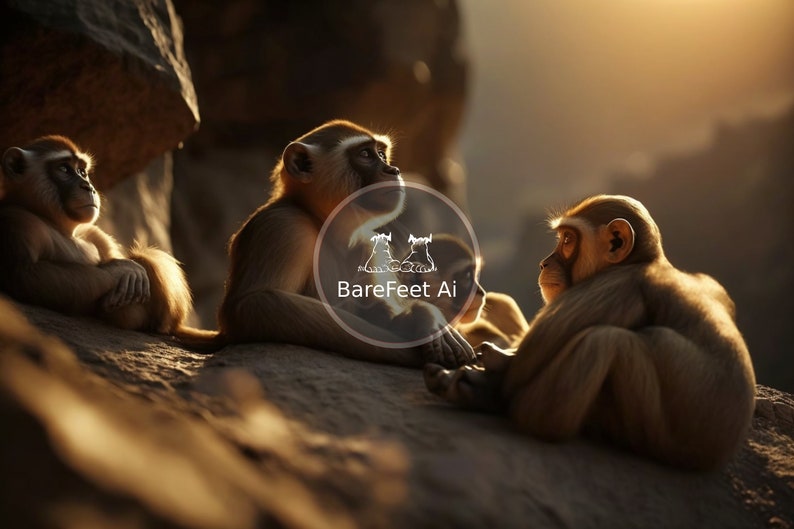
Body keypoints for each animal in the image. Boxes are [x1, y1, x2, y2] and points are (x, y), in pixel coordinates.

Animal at [0, 135, 215, 343]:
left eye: (82, 171)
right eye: (64, 169)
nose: (88, 187)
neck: (62, 228)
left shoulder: (94, 233)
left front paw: (121, 266)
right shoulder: (18, 221)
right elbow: (26, 274)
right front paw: (119, 270)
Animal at [218, 120, 475, 368]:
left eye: (381, 154)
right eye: (365, 154)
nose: (393, 170)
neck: (322, 224)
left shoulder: (369, 245)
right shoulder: (283, 227)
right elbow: (251, 305)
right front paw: (422, 319)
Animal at [424, 195, 756, 470]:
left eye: (568, 240)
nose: (544, 263)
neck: (646, 261)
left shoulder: (616, 286)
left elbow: (523, 369)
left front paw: (488, 375)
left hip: (664, 440)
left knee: (605, 341)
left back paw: (535, 419)